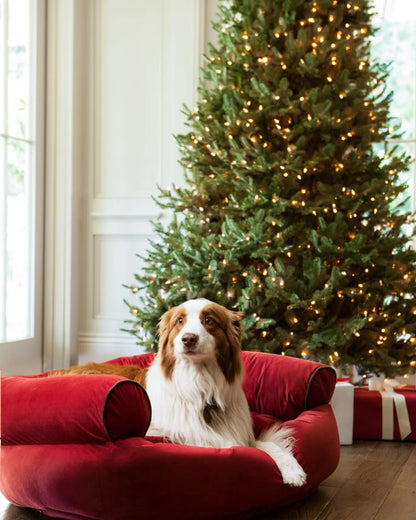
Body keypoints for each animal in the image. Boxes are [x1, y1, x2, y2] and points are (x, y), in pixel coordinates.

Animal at [57, 298, 308, 486]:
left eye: (208, 320)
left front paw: (293, 471)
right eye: (180, 320)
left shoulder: (242, 433)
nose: (188, 338)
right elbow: (222, 443)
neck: (200, 383)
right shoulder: (168, 431)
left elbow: (270, 445)